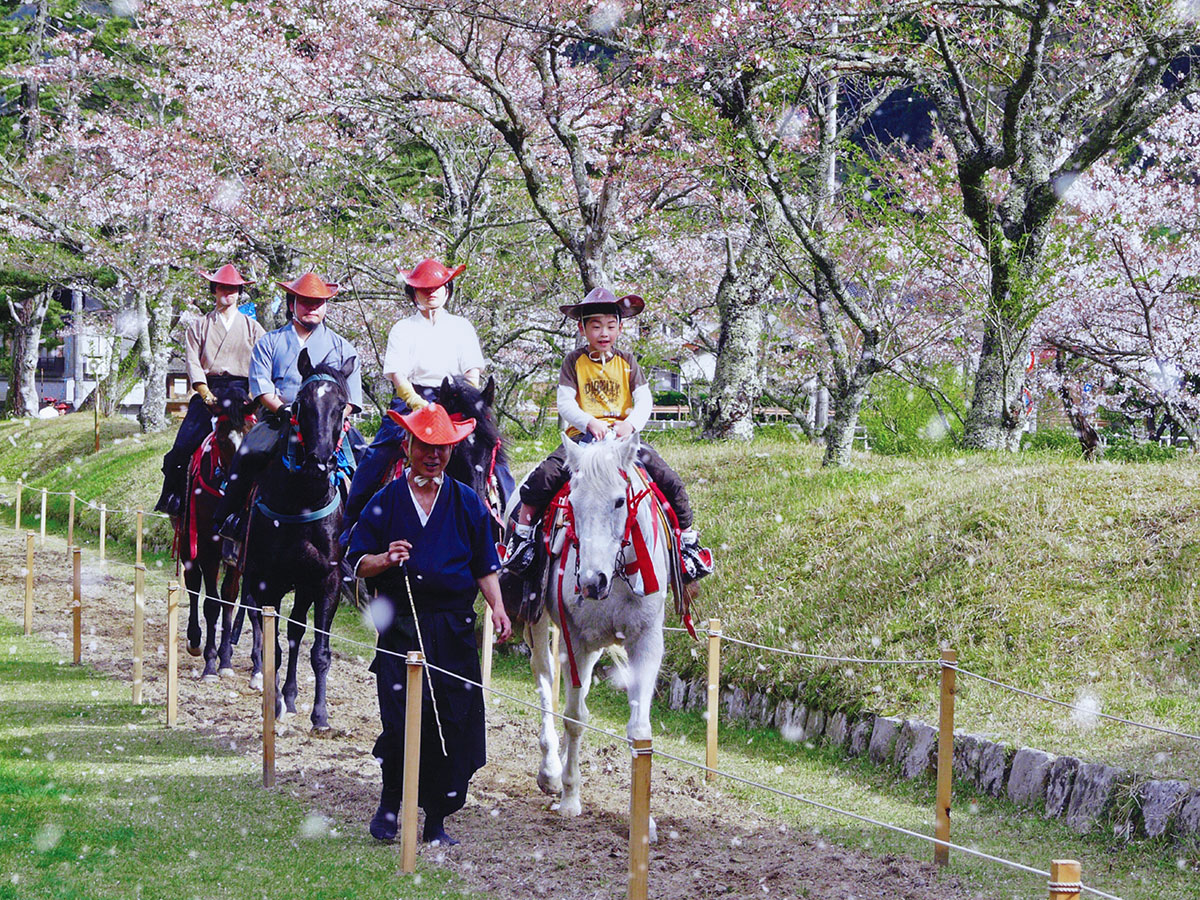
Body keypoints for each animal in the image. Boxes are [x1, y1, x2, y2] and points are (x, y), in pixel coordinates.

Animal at [180, 381, 255, 681]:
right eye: (223, 439)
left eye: (252, 433)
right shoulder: (207, 546)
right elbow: (211, 602)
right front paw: (211, 664)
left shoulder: (238, 548)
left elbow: (229, 599)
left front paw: (225, 660)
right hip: (187, 539)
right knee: (191, 583)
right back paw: (194, 640)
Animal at [226, 350, 350, 734]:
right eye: (300, 405)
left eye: (341, 405)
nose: (319, 461)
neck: (303, 499)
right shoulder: (269, 580)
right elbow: (273, 647)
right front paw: (276, 703)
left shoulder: (326, 581)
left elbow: (318, 651)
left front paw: (320, 715)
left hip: (304, 584)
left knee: (296, 633)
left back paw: (293, 696)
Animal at [511, 434, 672, 830]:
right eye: (572, 503)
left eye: (619, 501)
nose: (591, 582)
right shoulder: (576, 640)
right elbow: (575, 719)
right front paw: (570, 797)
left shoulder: (646, 641)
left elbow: (639, 732)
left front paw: (643, 820)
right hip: (540, 623)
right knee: (545, 679)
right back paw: (551, 771)